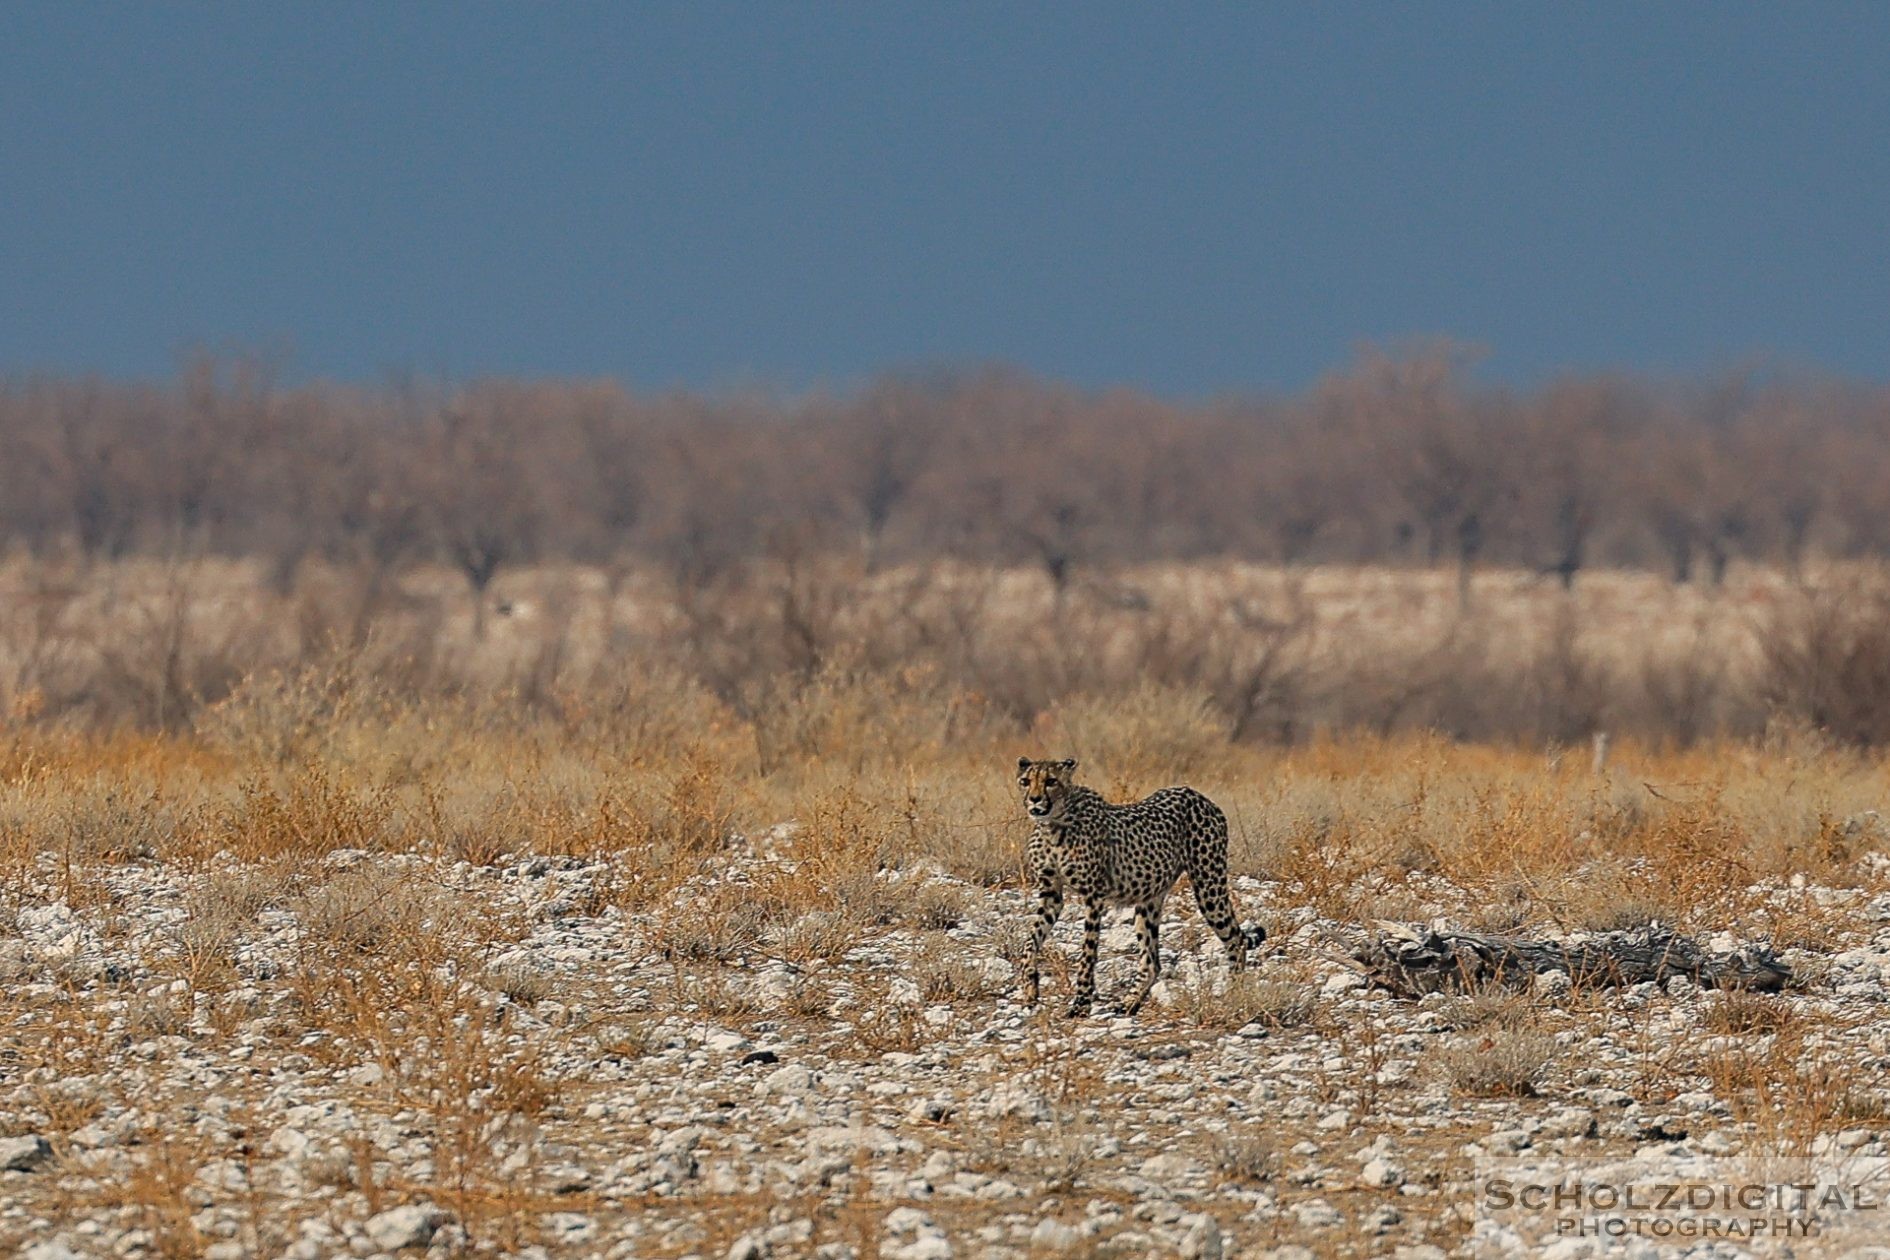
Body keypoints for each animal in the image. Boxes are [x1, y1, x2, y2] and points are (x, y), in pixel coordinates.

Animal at [1013, 759, 1262, 1012]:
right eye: (1025, 781)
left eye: (1051, 781)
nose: (1034, 799)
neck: (1053, 824)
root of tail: (1196, 794)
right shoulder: (1051, 894)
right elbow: (1029, 942)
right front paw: (1030, 987)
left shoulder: (1093, 897)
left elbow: (1088, 952)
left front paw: (1081, 1002)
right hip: (1149, 899)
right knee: (1152, 961)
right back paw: (1129, 1002)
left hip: (1208, 885)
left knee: (1236, 939)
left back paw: (1234, 995)